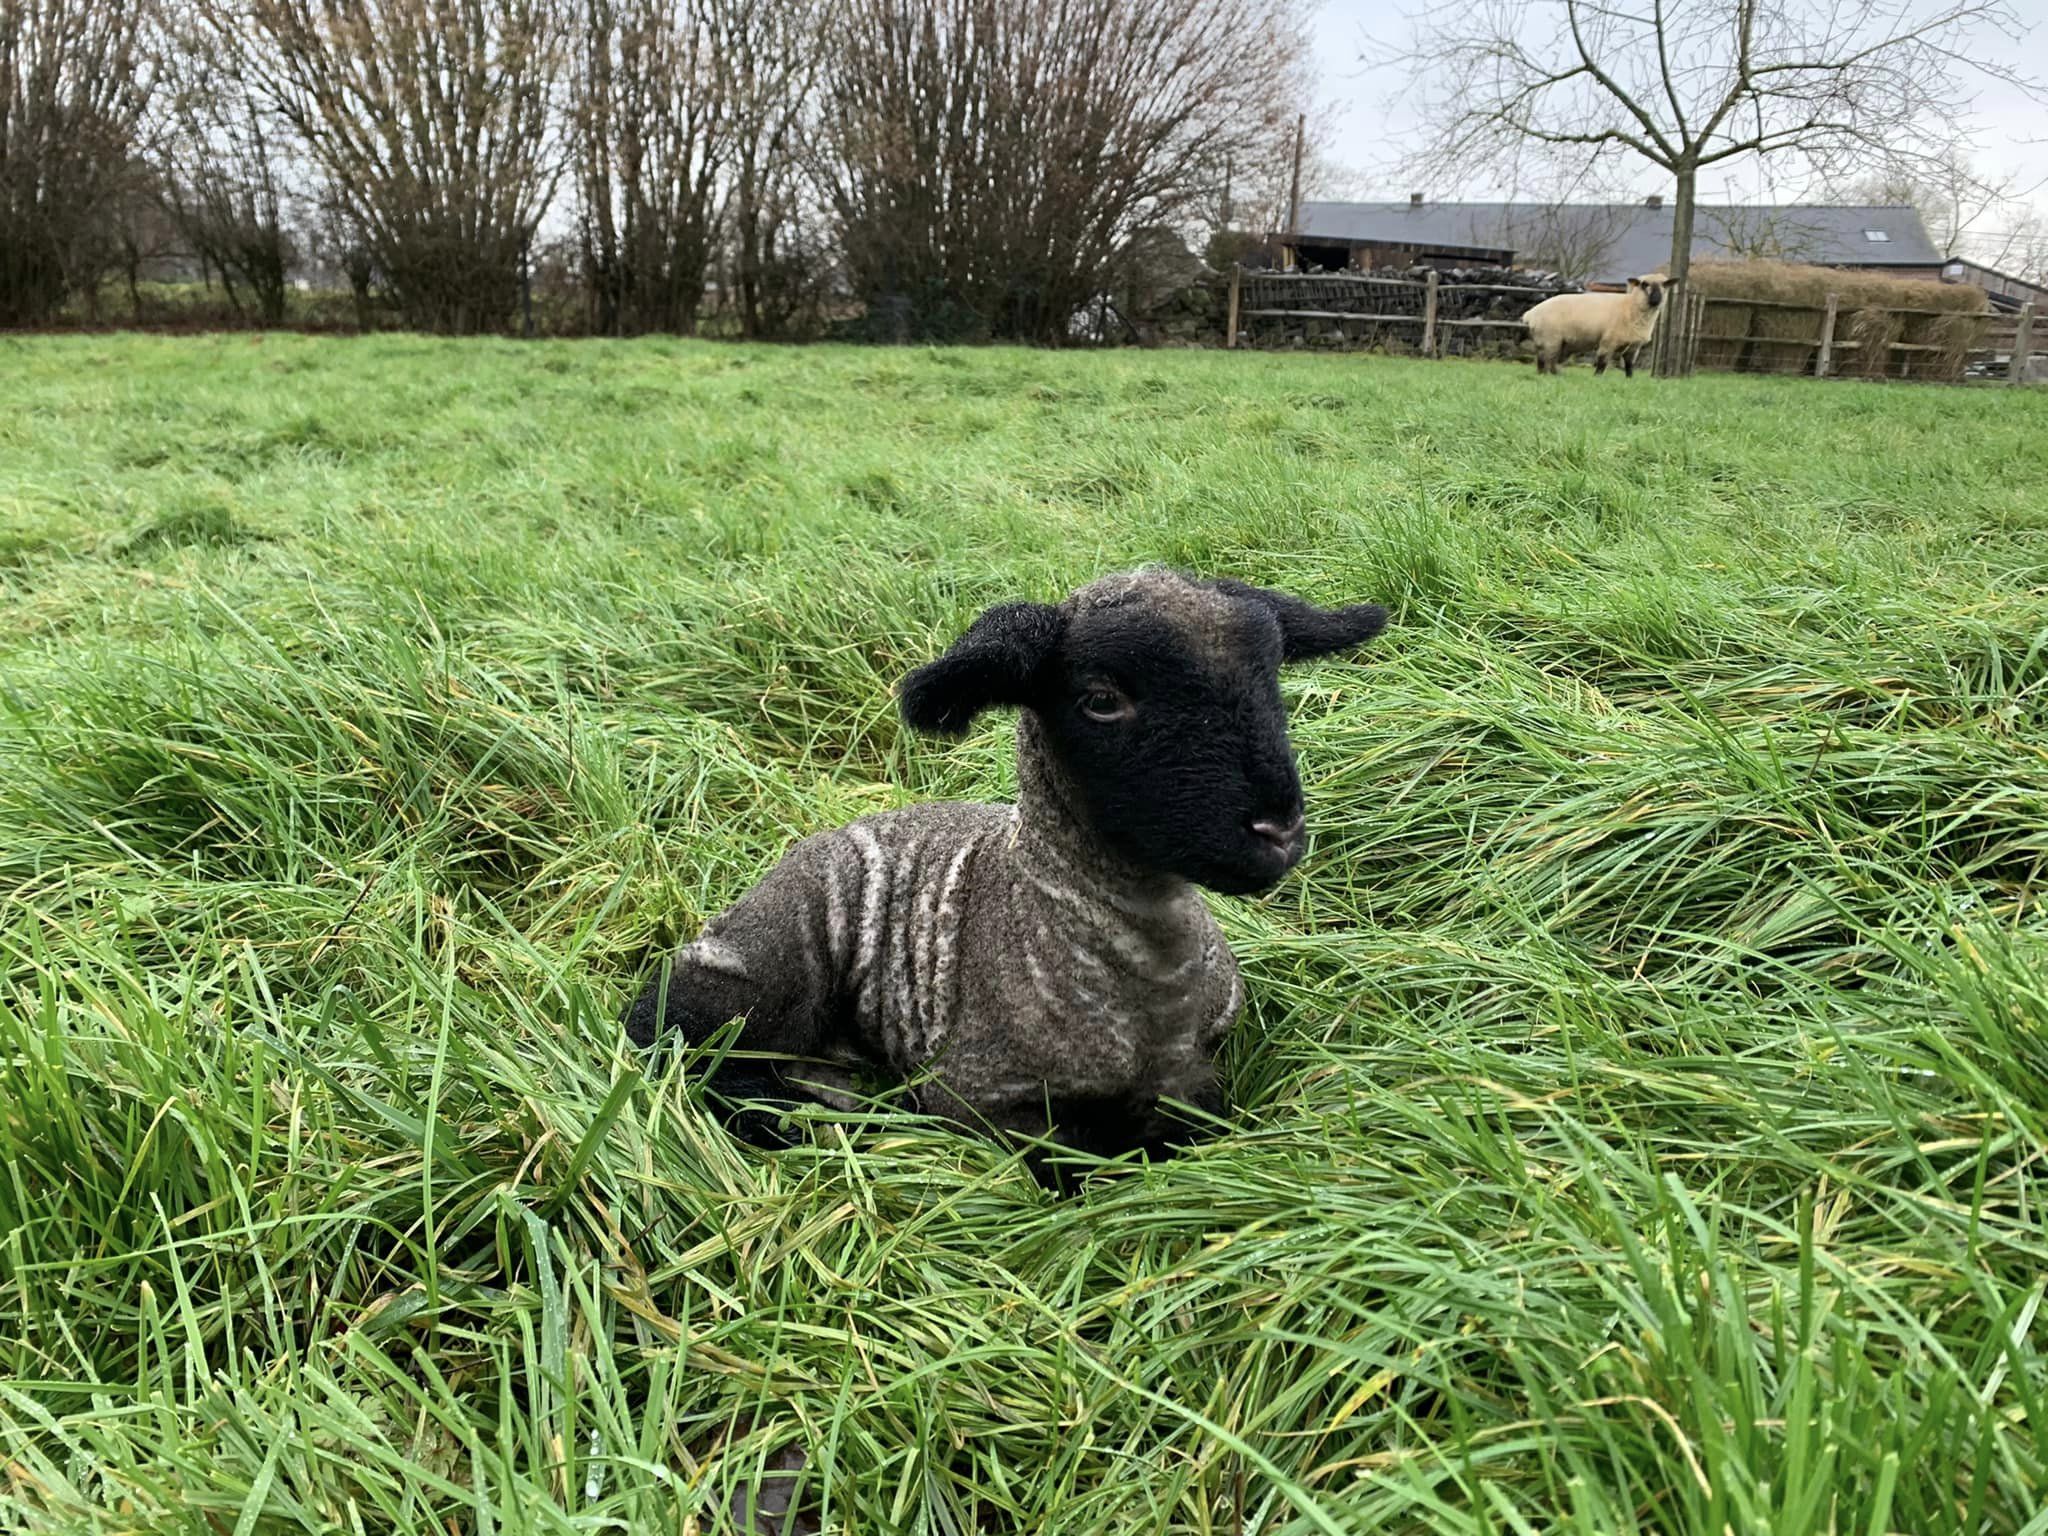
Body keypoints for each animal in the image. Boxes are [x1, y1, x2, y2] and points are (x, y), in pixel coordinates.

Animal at [626, 573, 1392, 1187]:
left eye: (1273, 678)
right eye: (1100, 699)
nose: (1278, 829)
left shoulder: (1204, 1065)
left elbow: (1201, 1116)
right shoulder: (978, 1095)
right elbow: (1069, 1158)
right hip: (776, 961)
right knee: (685, 1046)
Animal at [1523, 274, 1662, 376]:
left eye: (1664, 285)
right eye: (1644, 285)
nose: (1657, 299)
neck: (1630, 307)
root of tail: (1530, 314)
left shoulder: (1634, 345)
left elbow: (1628, 364)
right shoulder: (1608, 341)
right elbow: (1602, 362)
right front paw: (1598, 377)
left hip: (1553, 341)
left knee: (1544, 360)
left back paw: (1551, 374)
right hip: (1550, 339)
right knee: (1547, 359)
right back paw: (1549, 375)